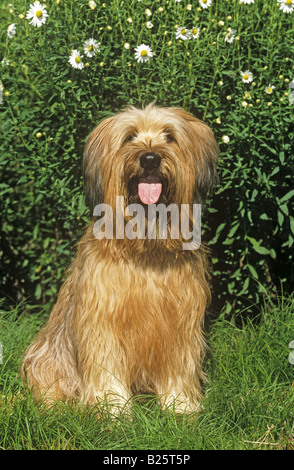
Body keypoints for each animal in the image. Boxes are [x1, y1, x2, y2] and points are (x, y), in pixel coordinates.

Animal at [21, 104, 218, 414]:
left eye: (169, 136)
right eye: (130, 137)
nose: (150, 158)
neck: (146, 247)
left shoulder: (180, 324)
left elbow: (179, 366)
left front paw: (180, 406)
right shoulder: (103, 321)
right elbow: (106, 367)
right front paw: (112, 410)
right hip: (48, 357)